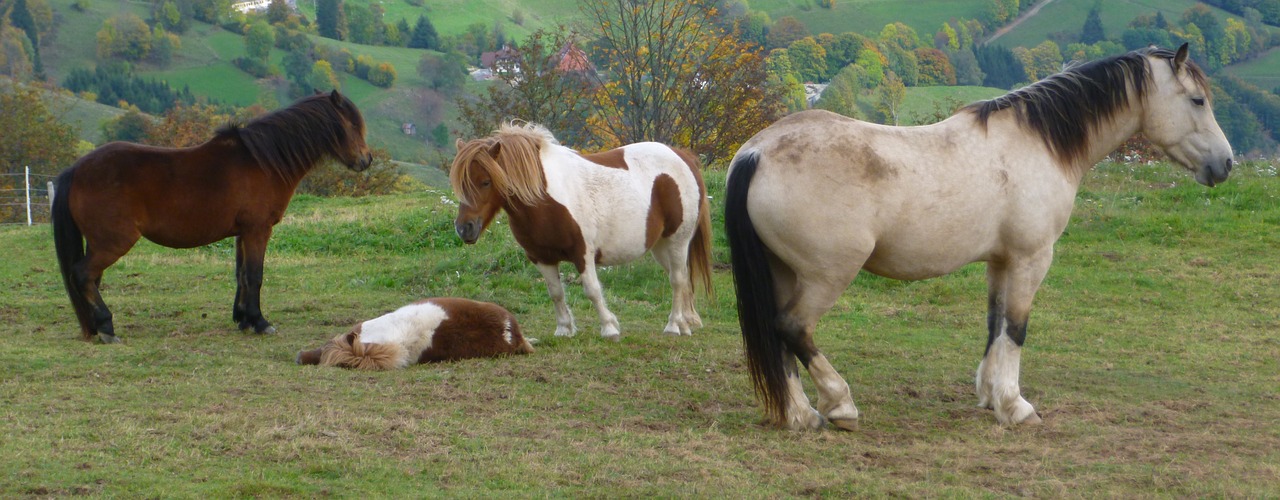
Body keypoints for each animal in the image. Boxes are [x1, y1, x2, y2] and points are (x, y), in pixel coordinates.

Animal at [55, 90, 373, 345]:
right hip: (113, 242)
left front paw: (244, 319)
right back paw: (106, 327)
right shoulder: (258, 230)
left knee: (90, 279)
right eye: (352, 125)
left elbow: (242, 276)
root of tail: (77, 169)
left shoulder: (242, 233)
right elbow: (255, 275)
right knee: (83, 275)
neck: (263, 162)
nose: (366, 160)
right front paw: (260, 322)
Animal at [450, 124, 716, 340]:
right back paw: (686, 323)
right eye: (459, 184)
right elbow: (556, 293)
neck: (544, 199)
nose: (465, 229)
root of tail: (682, 156)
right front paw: (564, 329)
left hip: (678, 240)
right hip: (660, 246)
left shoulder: (583, 253)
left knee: (677, 280)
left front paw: (609, 328)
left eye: (485, 182)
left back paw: (674, 326)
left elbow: (592, 290)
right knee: (682, 279)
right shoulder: (541, 258)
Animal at [727, 45, 1233, 432]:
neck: (1038, 143)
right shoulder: (1032, 258)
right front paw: (1016, 407)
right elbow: (1017, 328)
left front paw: (991, 396)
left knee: (778, 337)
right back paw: (840, 405)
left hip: (783, 272)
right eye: (1197, 101)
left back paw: (801, 415)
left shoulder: (1000, 260)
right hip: (827, 275)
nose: (1225, 164)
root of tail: (757, 151)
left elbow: (995, 324)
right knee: (793, 328)